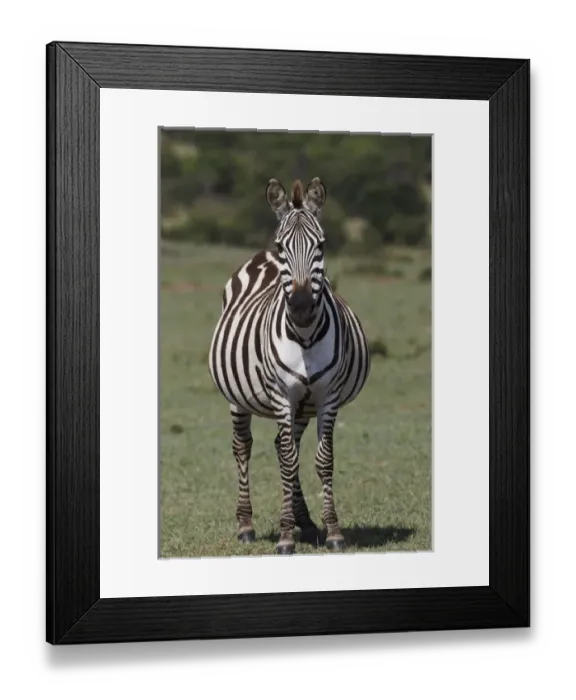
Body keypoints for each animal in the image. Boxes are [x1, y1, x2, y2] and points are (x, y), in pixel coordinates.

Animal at [208, 177, 370, 555]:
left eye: (321, 246)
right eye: (283, 247)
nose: (299, 306)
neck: (306, 337)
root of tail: (259, 257)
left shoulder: (327, 397)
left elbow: (321, 461)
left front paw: (332, 530)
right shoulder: (282, 395)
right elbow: (286, 461)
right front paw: (284, 537)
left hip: (303, 406)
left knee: (285, 447)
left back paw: (307, 523)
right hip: (238, 398)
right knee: (244, 447)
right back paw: (246, 525)